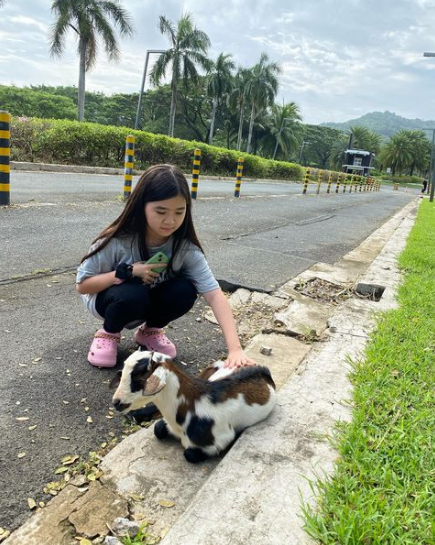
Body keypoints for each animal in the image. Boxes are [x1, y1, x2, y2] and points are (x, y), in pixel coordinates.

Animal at [110, 348, 278, 464]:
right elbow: (158, 429)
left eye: (139, 374)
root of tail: (262, 370)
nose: (116, 402)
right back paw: (135, 415)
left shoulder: (219, 441)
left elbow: (189, 454)